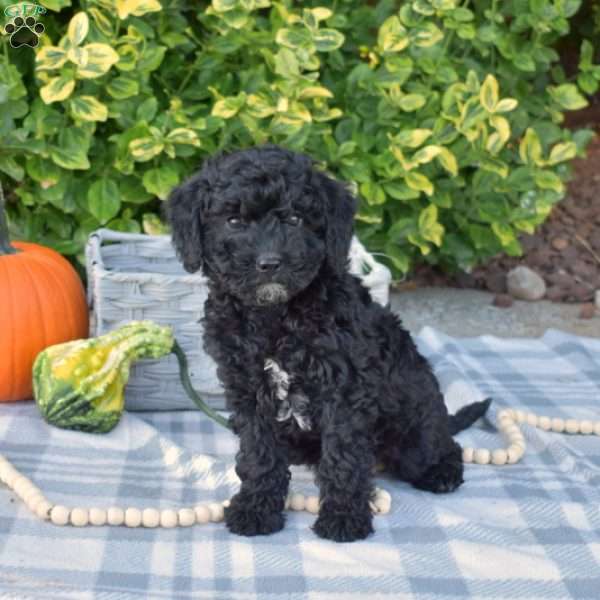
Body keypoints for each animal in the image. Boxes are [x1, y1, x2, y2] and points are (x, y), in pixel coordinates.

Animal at [166, 146, 490, 544]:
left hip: (415, 426)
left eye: (294, 218)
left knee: (442, 446)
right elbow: (259, 454)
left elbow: (344, 457)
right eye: (234, 221)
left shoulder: (345, 390)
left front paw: (343, 516)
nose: (269, 263)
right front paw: (256, 508)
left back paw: (441, 471)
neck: (276, 316)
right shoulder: (248, 389)